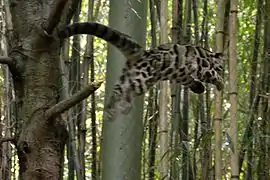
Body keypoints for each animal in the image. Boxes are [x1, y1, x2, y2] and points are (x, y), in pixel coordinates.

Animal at [49, 22, 225, 121]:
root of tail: (144, 53)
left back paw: (113, 111)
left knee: (117, 92)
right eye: (222, 67)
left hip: (130, 76)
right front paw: (220, 83)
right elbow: (209, 75)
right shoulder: (202, 66)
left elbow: (189, 80)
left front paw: (199, 87)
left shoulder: (182, 74)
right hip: (143, 78)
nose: (224, 71)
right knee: (123, 92)